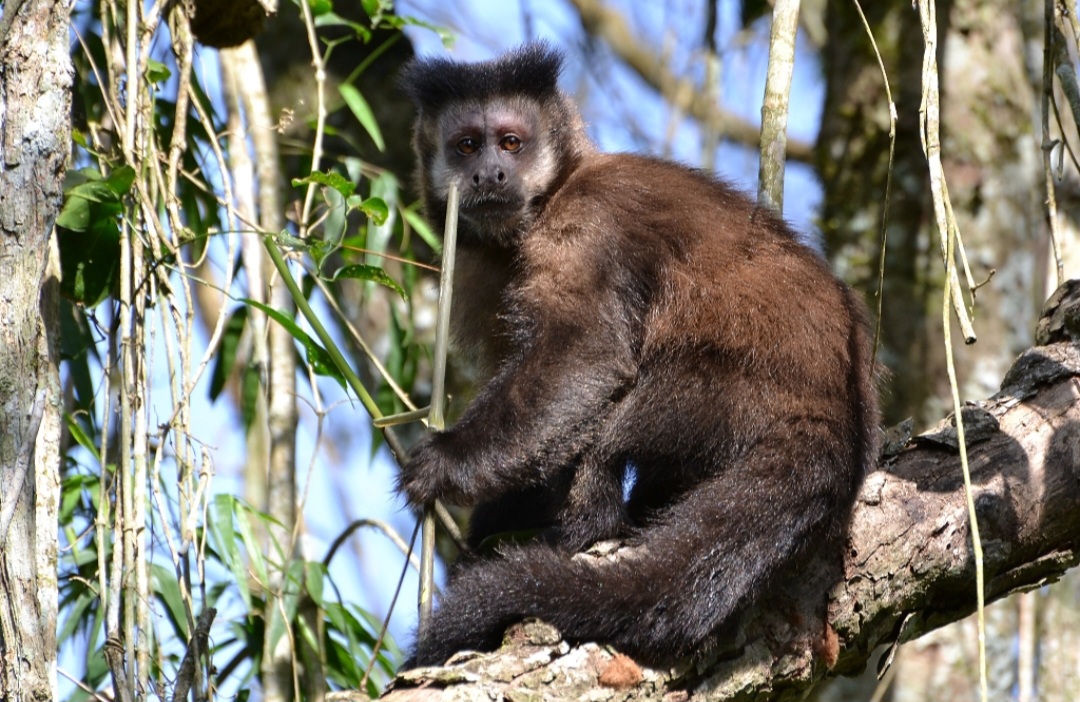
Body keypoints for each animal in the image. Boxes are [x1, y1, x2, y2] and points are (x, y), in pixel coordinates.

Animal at [395, 42, 879, 668]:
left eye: (510, 143)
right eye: (466, 146)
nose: (490, 174)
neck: (552, 195)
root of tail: (841, 421)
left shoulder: (587, 222)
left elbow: (586, 355)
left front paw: (445, 461)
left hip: (735, 400)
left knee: (618, 421)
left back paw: (590, 529)